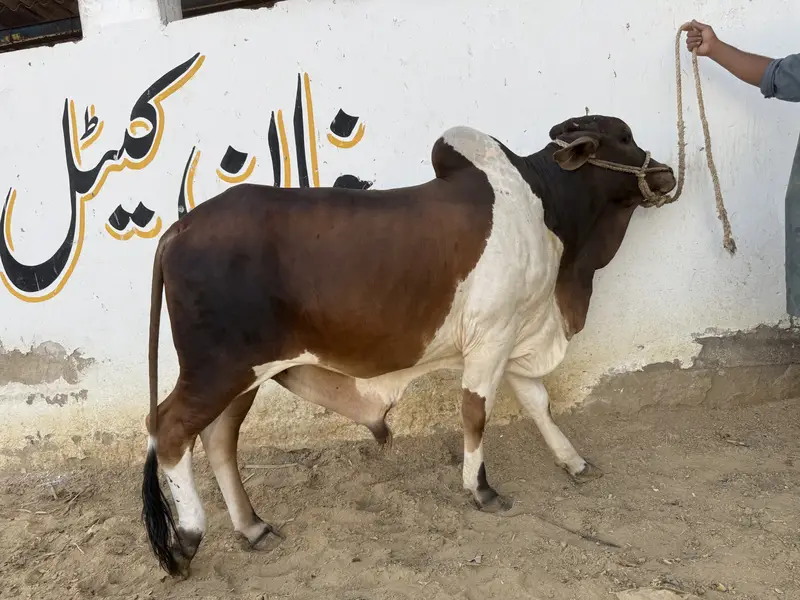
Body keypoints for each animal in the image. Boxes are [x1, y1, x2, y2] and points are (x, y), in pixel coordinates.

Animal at [141, 114, 676, 577]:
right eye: (623, 137)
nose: (666, 173)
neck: (542, 204)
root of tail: (179, 229)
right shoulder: (491, 336)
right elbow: (475, 412)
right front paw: (481, 489)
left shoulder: (515, 329)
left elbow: (538, 403)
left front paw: (573, 461)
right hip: (218, 368)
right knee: (170, 429)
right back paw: (189, 538)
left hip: (248, 372)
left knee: (219, 437)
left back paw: (253, 528)